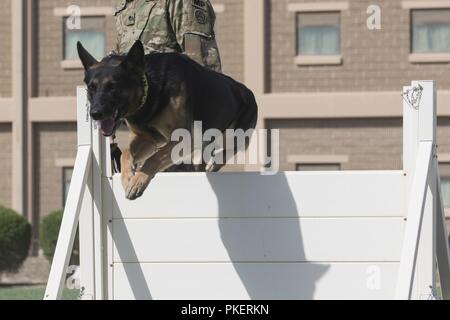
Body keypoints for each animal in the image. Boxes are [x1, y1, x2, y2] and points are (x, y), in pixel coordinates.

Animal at [78, 40, 256, 200]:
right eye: (91, 88)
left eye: (113, 86)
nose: (94, 114)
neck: (150, 89)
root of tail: (248, 92)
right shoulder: (149, 139)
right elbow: (127, 153)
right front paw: (128, 177)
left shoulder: (184, 139)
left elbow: (154, 158)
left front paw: (138, 181)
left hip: (233, 135)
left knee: (232, 148)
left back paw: (216, 163)